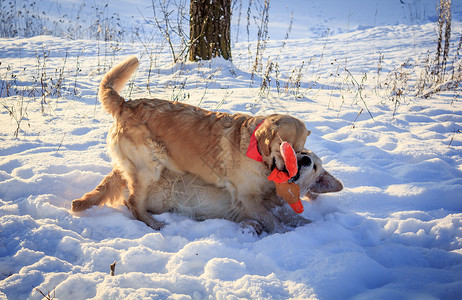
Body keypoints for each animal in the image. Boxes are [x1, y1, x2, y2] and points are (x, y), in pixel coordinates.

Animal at [83, 56, 312, 232]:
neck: (254, 151)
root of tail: (125, 103)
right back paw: (154, 224)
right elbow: (272, 219)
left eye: (299, 151)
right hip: (148, 168)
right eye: (282, 147)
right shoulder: (248, 198)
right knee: (133, 202)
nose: (291, 173)